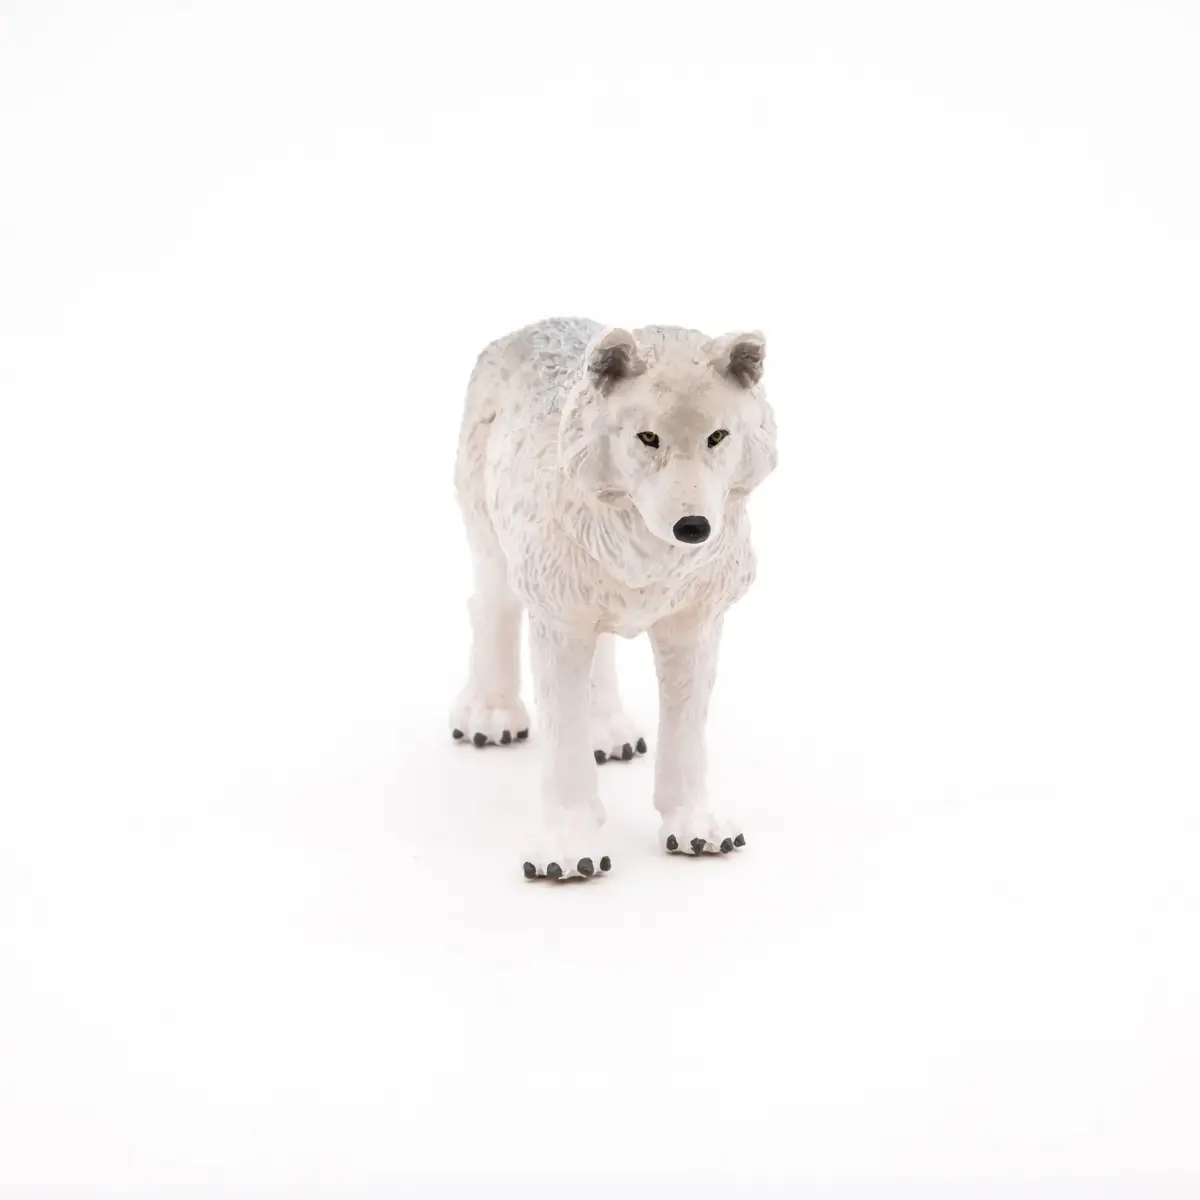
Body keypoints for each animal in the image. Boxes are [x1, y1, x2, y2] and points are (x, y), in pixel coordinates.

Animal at [450, 317, 777, 880]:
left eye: (717, 437)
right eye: (648, 438)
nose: (694, 527)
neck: (647, 556)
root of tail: (535, 325)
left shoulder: (693, 626)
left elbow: (685, 744)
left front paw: (694, 827)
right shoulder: (558, 624)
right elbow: (564, 753)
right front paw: (567, 849)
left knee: (600, 655)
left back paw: (609, 734)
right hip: (495, 548)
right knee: (489, 610)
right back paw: (490, 718)